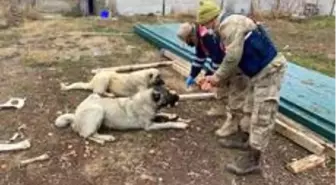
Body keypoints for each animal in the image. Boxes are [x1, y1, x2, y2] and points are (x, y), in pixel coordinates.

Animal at [53, 85, 188, 145]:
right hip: (98, 110)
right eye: (168, 94)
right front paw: (180, 124)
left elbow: (163, 113)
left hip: (95, 97)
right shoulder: (150, 126)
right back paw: (105, 138)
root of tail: (75, 116)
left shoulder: (154, 115)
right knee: (86, 135)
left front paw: (174, 116)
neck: (147, 101)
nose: (178, 96)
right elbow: (167, 123)